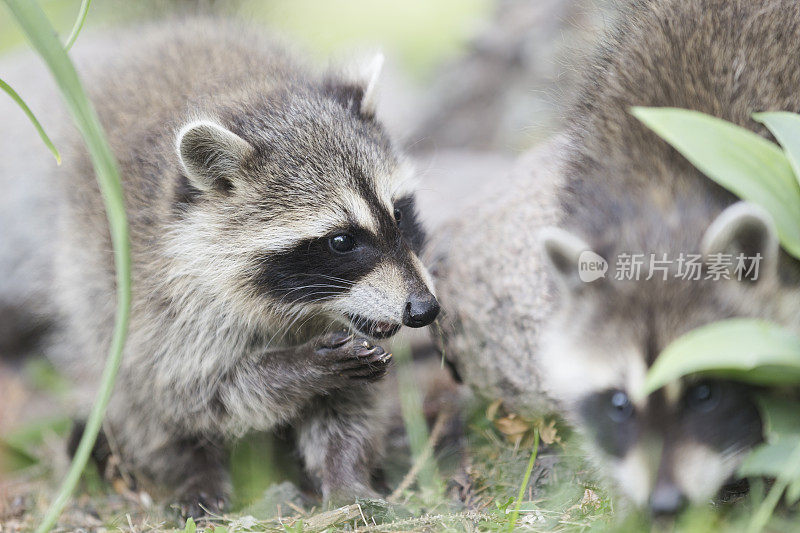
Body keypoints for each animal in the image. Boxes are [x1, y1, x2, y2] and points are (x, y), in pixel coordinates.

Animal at [46, 20, 438, 516]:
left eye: (400, 215)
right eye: (341, 242)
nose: (425, 309)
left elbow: (346, 407)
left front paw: (344, 473)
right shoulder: (164, 296)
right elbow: (202, 390)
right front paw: (296, 368)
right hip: (95, 281)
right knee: (143, 397)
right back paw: (189, 465)